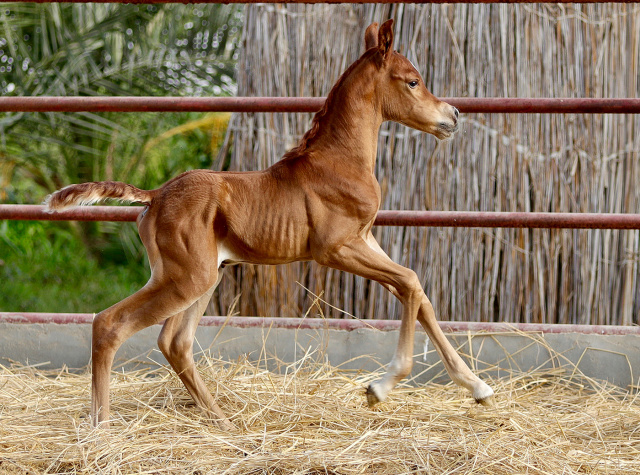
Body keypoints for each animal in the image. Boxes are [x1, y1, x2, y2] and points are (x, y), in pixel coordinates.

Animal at [46, 21, 496, 432]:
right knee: (110, 324)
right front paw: (379, 388)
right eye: (413, 81)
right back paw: (102, 429)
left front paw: (478, 388)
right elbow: (409, 282)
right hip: (186, 278)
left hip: (201, 276)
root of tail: (155, 195)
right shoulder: (336, 249)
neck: (339, 159)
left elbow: (418, 292)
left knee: (175, 342)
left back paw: (223, 422)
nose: (453, 115)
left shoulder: (366, 239)